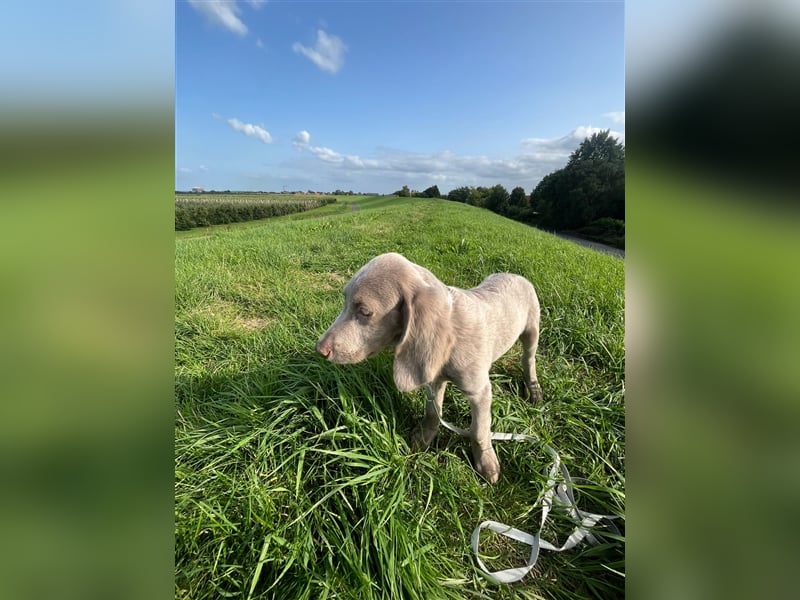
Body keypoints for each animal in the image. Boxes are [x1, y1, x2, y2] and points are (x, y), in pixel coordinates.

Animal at [318, 253, 544, 482]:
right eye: (344, 301)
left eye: (365, 312)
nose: (319, 349)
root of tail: (514, 274)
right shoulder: (433, 378)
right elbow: (433, 412)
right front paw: (423, 438)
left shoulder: (480, 392)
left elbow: (479, 430)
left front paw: (486, 462)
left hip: (532, 330)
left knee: (528, 359)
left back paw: (533, 388)